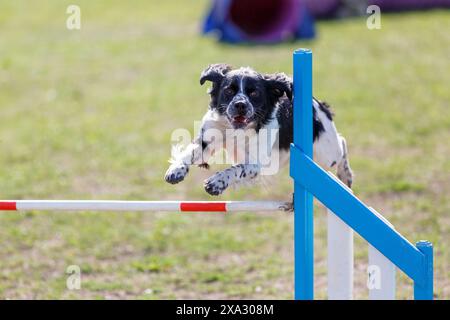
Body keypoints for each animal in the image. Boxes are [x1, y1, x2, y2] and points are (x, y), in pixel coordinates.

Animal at [163, 63, 354, 195]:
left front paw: (217, 182)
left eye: (254, 93)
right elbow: (189, 153)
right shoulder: (207, 141)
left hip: (325, 154)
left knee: (342, 144)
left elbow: (236, 169)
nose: (240, 105)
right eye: (229, 90)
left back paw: (346, 176)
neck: (236, 130)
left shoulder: (255, 162)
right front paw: (176, 170)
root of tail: (319, 104)